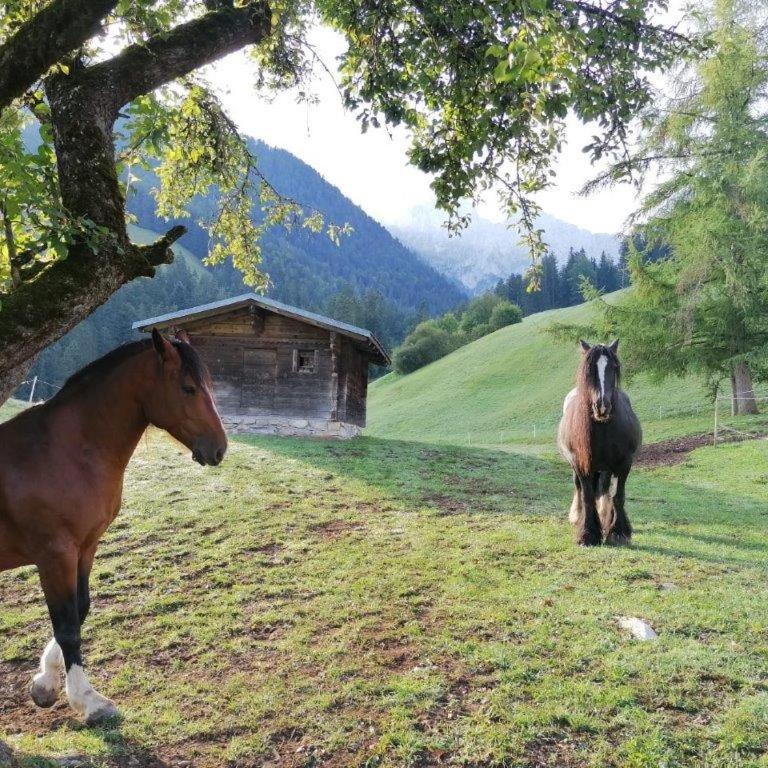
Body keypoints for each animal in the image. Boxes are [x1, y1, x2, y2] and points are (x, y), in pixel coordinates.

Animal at [0, 330, 227, 724]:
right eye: (188, 388)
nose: (219, 449)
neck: (60, 452)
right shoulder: (55, 555)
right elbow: (67, 626)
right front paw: (88, 701)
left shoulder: (86, 547)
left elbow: (81, 609)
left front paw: (44, 684)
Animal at [557, 339, 642, 547]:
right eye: (589, 369)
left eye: (614, 367)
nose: (602, 406)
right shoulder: (581, 463)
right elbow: (587, 496)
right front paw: (587, 533)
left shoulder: (625, 464)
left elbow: (618, 496)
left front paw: (618, 532)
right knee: (580, 488)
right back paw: (577, 516)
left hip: (606, 467)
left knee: (603, 489)